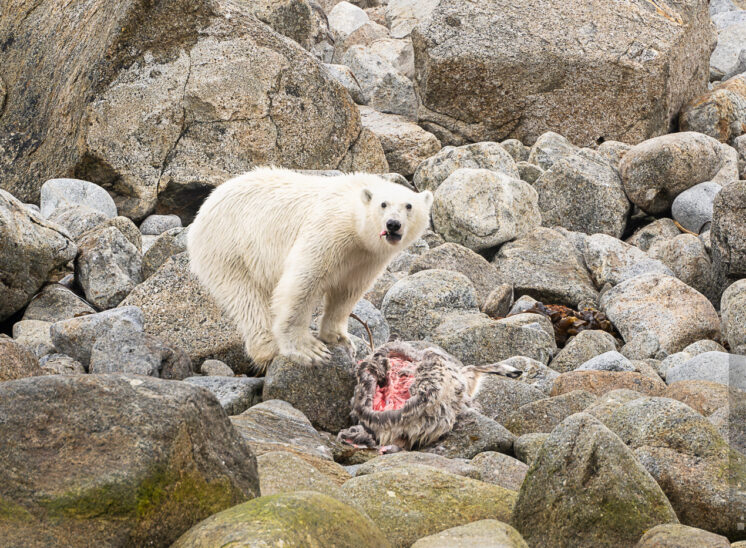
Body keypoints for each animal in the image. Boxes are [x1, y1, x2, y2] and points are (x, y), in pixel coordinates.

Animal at [185, 167, 430, 372]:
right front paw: (308, 350)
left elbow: (348, 291)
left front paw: (340, 338)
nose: (393, 224)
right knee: (246, 298)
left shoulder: (366, 258)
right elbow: (303, 280)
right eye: (383, 204)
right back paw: (268, 349)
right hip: (228, 248)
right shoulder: (329, 230)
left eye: (409, 206)